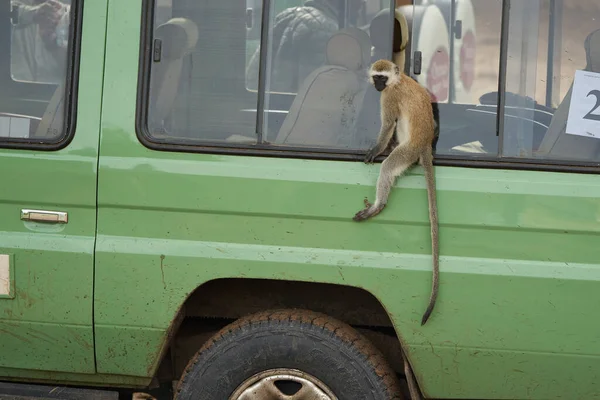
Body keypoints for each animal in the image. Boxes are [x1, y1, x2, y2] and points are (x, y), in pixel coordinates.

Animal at [352, 59, 440, 326]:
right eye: (376, 77)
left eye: (383, 78)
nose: (378, 86)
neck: (398, 81)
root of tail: (424, 146)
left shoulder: (389, 97)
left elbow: (388, 124)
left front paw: (375, 149)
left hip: (407, 152)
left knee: (390, 165)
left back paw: (378, 205)